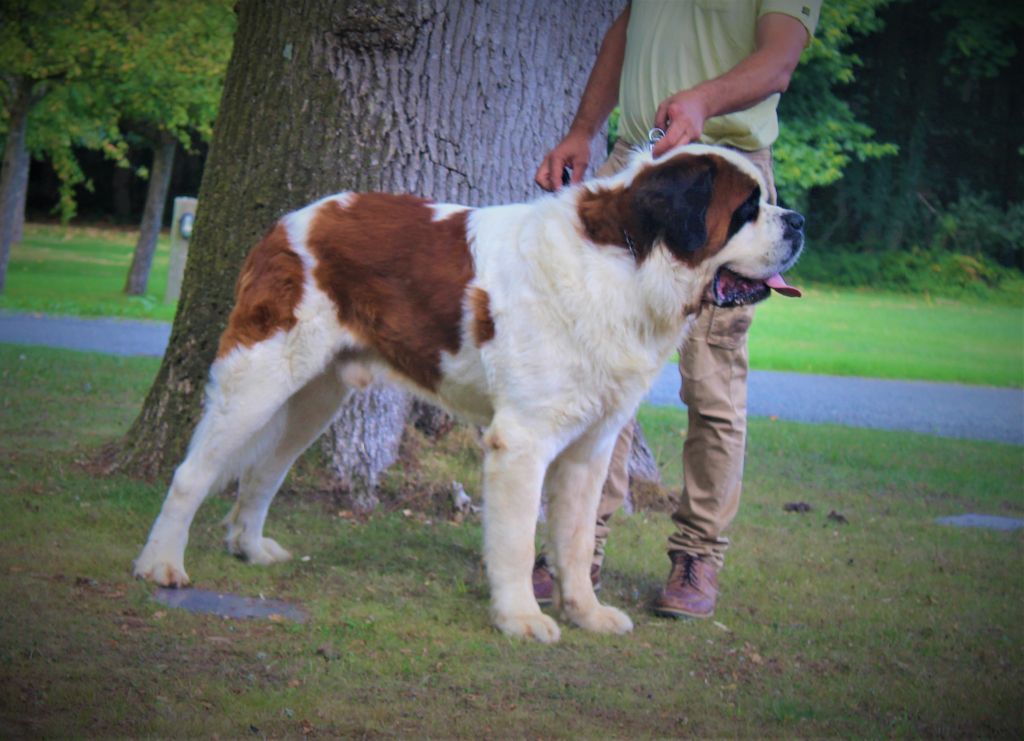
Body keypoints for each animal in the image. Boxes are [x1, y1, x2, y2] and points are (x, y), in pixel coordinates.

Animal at [134, 143, 806, 642]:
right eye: (747, 208)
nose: (799, 221)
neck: (631, 263)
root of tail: (289, 221)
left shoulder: (590, 447)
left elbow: (575, 538)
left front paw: (585, 613)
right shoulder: (523, 440)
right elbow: (517, 537)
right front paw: (521, 618)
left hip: (317, 396)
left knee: (264, 471)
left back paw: (249, 547)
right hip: (261, 375)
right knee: (193, 473)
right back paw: (161, 564)